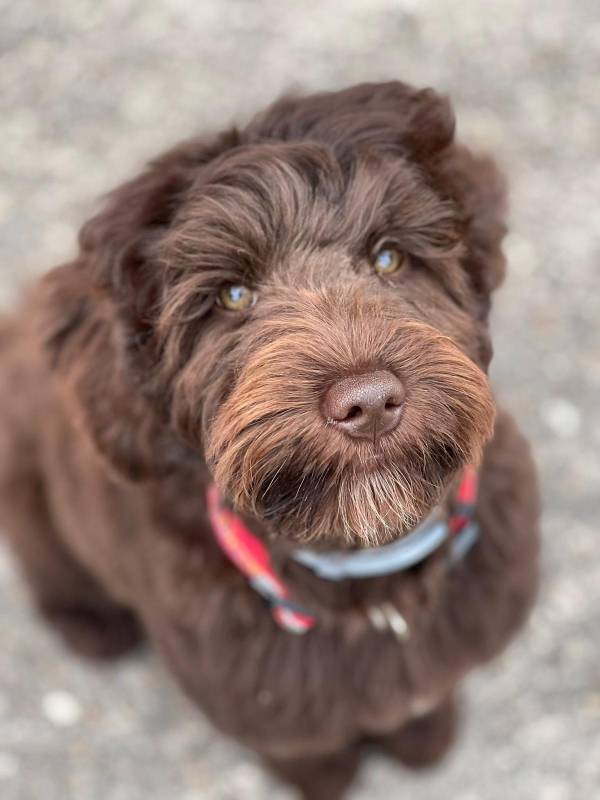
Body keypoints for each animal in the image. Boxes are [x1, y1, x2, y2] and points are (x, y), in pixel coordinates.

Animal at [0, 81, 540, 799]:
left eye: (390, 257)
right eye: (231, 295)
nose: (369, 402)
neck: (365, 580)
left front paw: (426, 736)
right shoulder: (263, 702)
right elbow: (306, 747)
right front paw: (327, 779)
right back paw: (92, 628)